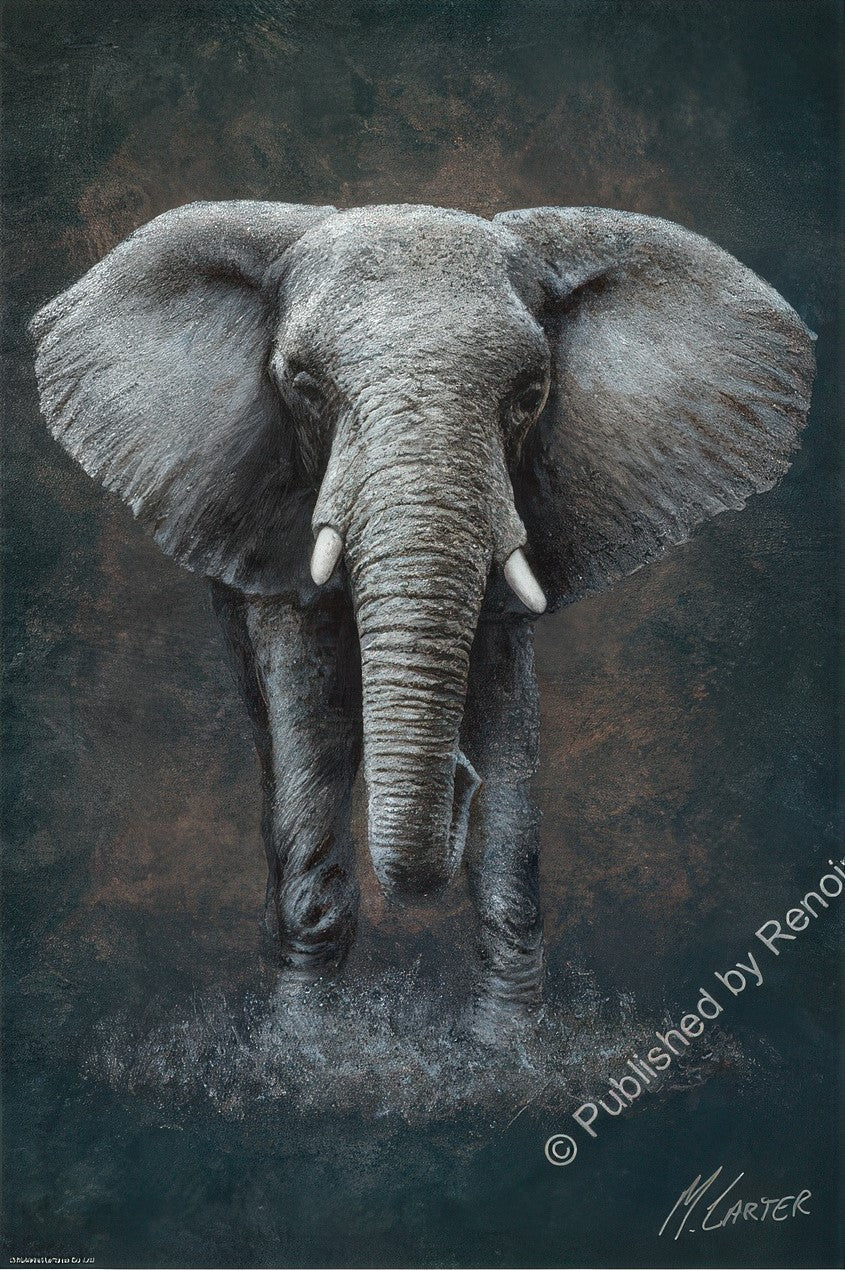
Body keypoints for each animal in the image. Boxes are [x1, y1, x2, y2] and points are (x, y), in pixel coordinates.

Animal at [30, 200, 815, 1026]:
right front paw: (306, 1044)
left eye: (529, 392)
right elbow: (308, 703)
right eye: (302, 384)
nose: (458, 779)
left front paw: (505, 1043)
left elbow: (504, 711)